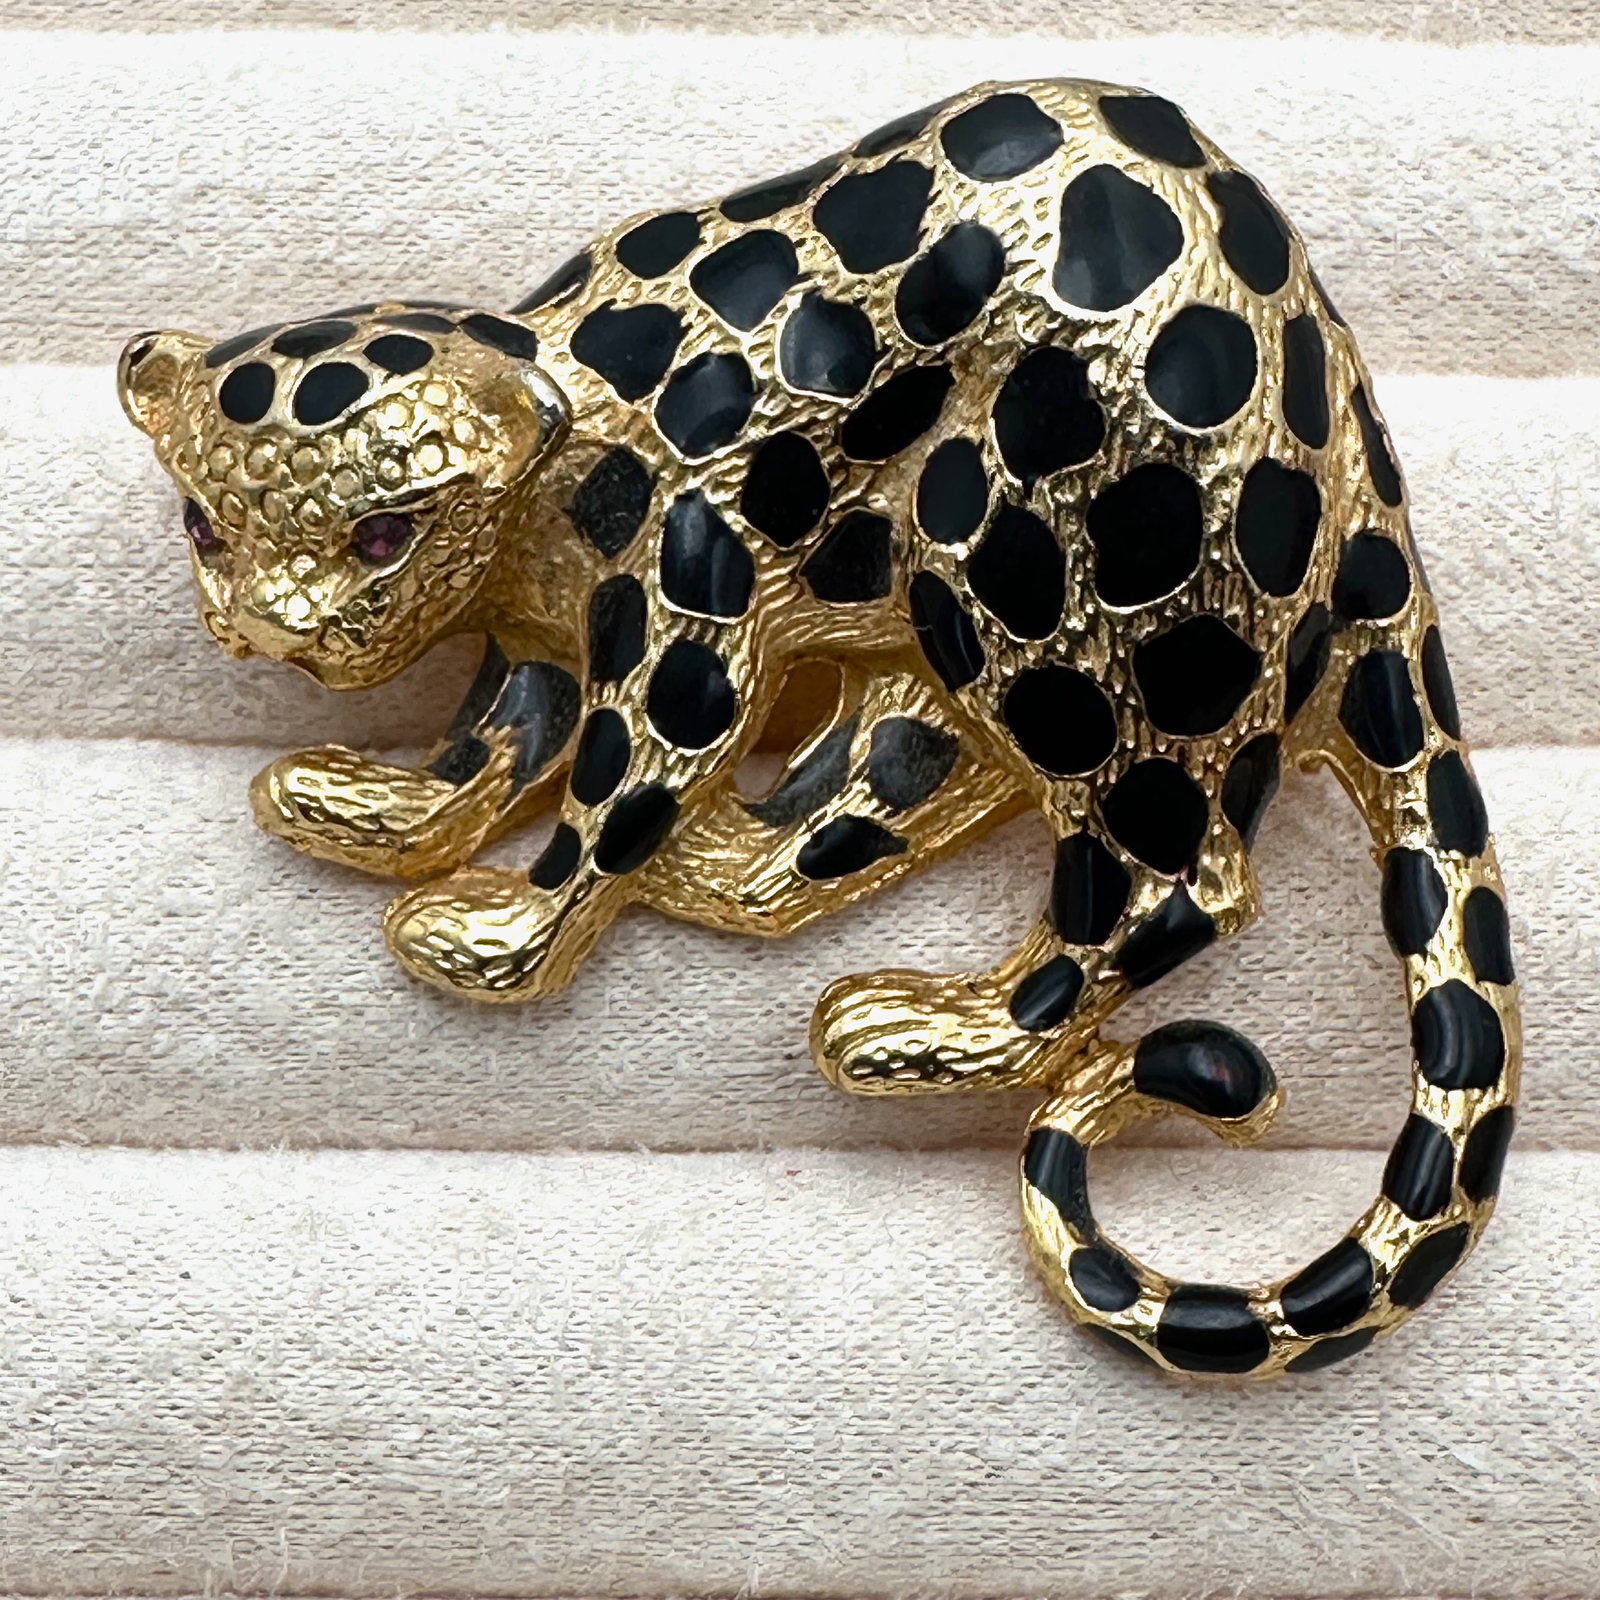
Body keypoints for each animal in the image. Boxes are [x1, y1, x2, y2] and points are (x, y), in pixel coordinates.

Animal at [119, 77, 1520, 1378]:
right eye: (206, 524)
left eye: (383, 530)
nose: (279, 627)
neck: (549, 485)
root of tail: (1346, 418)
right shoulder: (537, 633)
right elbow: (494, 743)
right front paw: (381, 808)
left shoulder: (689, 619)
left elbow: (607, 790)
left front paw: (504, 933)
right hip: (948, 633)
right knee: (873, 796)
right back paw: (736, 870)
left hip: (1049, 584)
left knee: (1175, 876)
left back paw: (937, 1029)